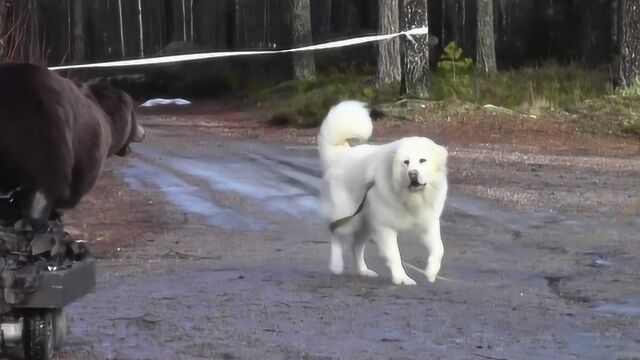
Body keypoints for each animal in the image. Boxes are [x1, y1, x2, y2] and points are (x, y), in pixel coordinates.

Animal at [318, 100, 448, 284]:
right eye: (406, 162)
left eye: (422, 160)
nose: (413, 174)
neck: (410, 197)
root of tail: (339, 154)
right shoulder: (386, 228)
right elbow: (394, 255)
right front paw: (402, 278)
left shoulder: (427, 225)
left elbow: (439, 249)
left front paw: (431, 272)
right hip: (349, 217)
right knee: (337, 238)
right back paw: (336, 266)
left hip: (366, 224)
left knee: (356, 245)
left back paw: (364, 271)